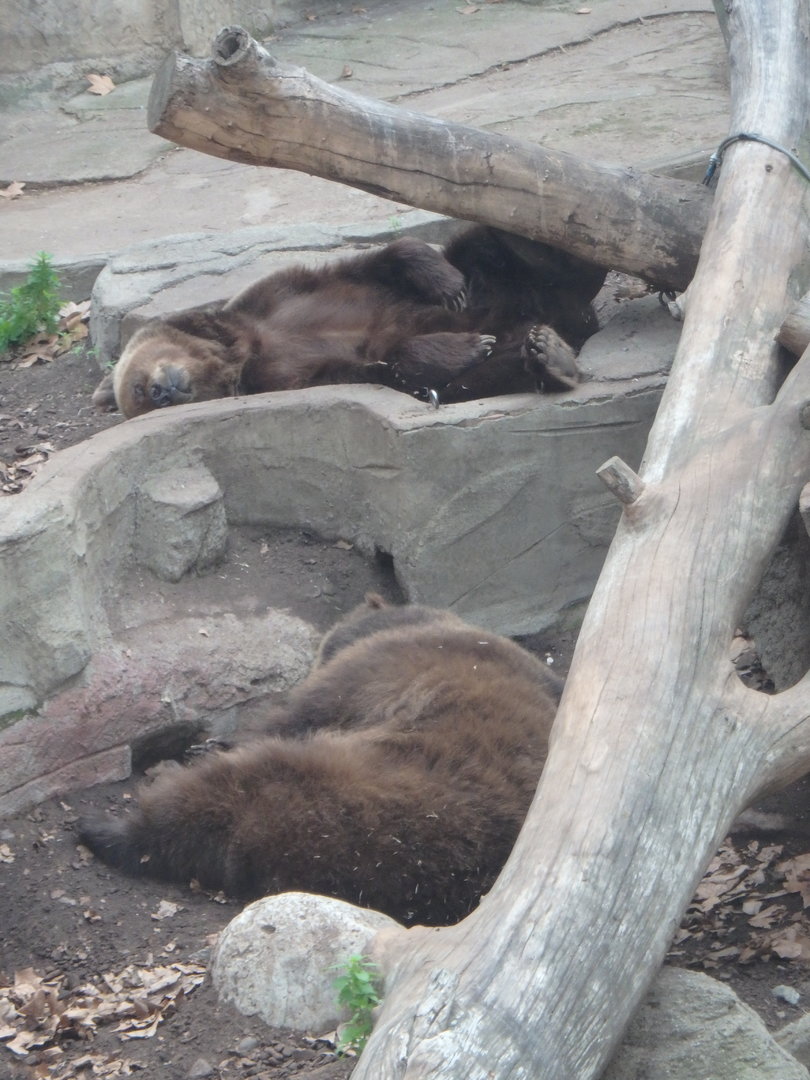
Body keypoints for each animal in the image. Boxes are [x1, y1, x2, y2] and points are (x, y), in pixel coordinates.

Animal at [77, 595, 562, 927]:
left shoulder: (376, 670)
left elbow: (292, 714)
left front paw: (208, 744)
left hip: (307, 782)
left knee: (201, 801)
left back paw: (108, 823)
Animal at [95, 224, 604, 418]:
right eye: (139, 395)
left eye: (136, 382)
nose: (161, 391)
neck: (243, 348)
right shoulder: (289, 376)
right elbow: (381, 364)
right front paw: (468, 344)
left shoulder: (285, 296)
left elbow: (383, 261)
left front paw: (446, 285)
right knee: (503, 365)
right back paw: (550, 355)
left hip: (500, 275)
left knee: (490, 243)